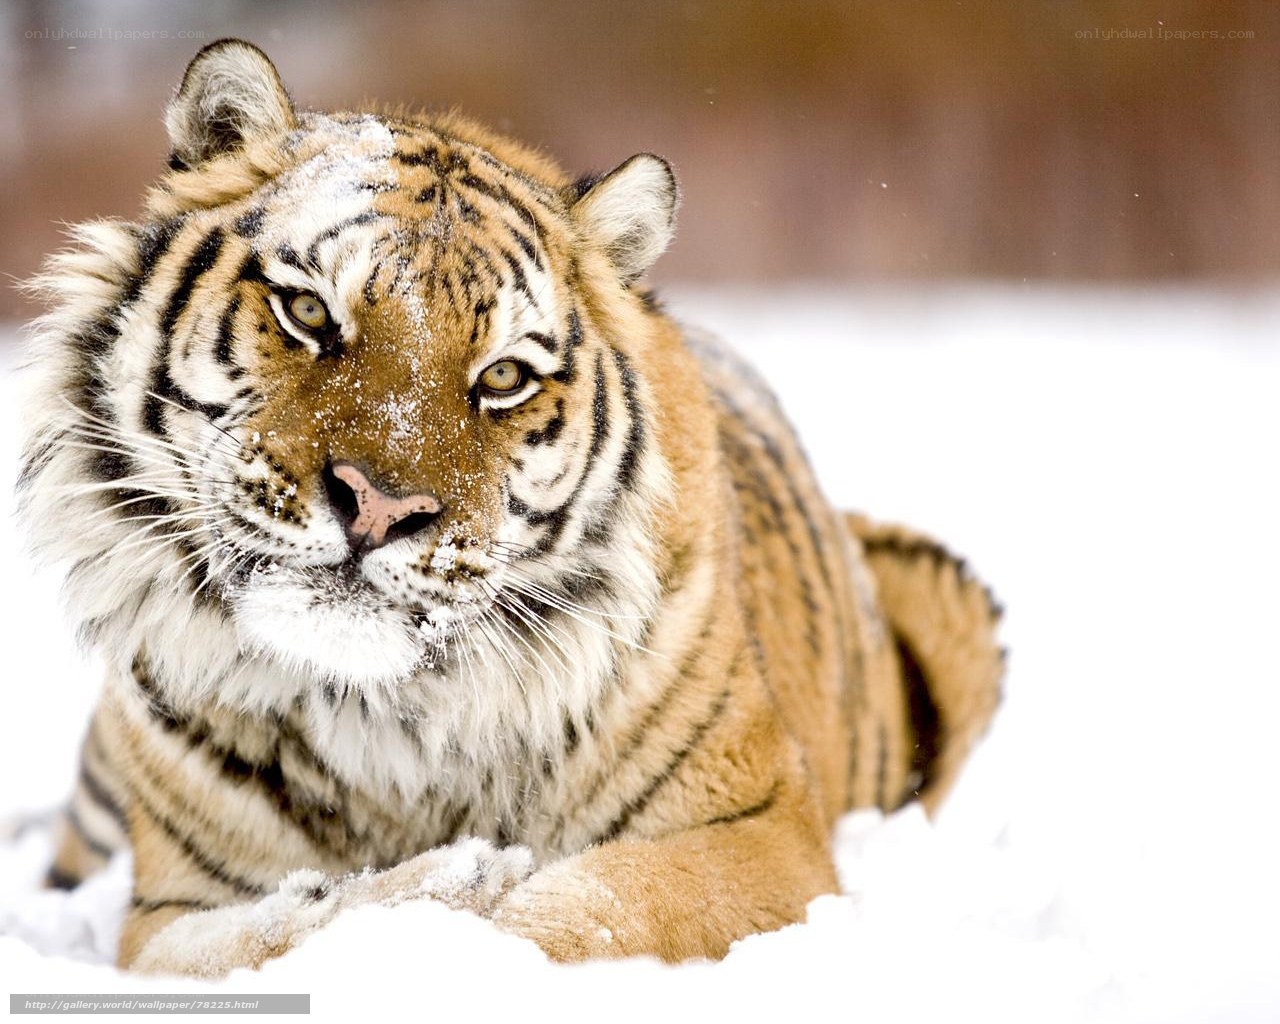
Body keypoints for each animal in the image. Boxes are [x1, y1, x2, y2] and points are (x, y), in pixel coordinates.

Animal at [18, 39, 1004, 975]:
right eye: (308, 311)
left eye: (502, 378)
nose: (378, 508)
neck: (381, 728)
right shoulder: (165, 913)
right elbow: (259, 939)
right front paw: (442, 882)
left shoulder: (761, 839)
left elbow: (578, 914)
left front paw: (468, 894)